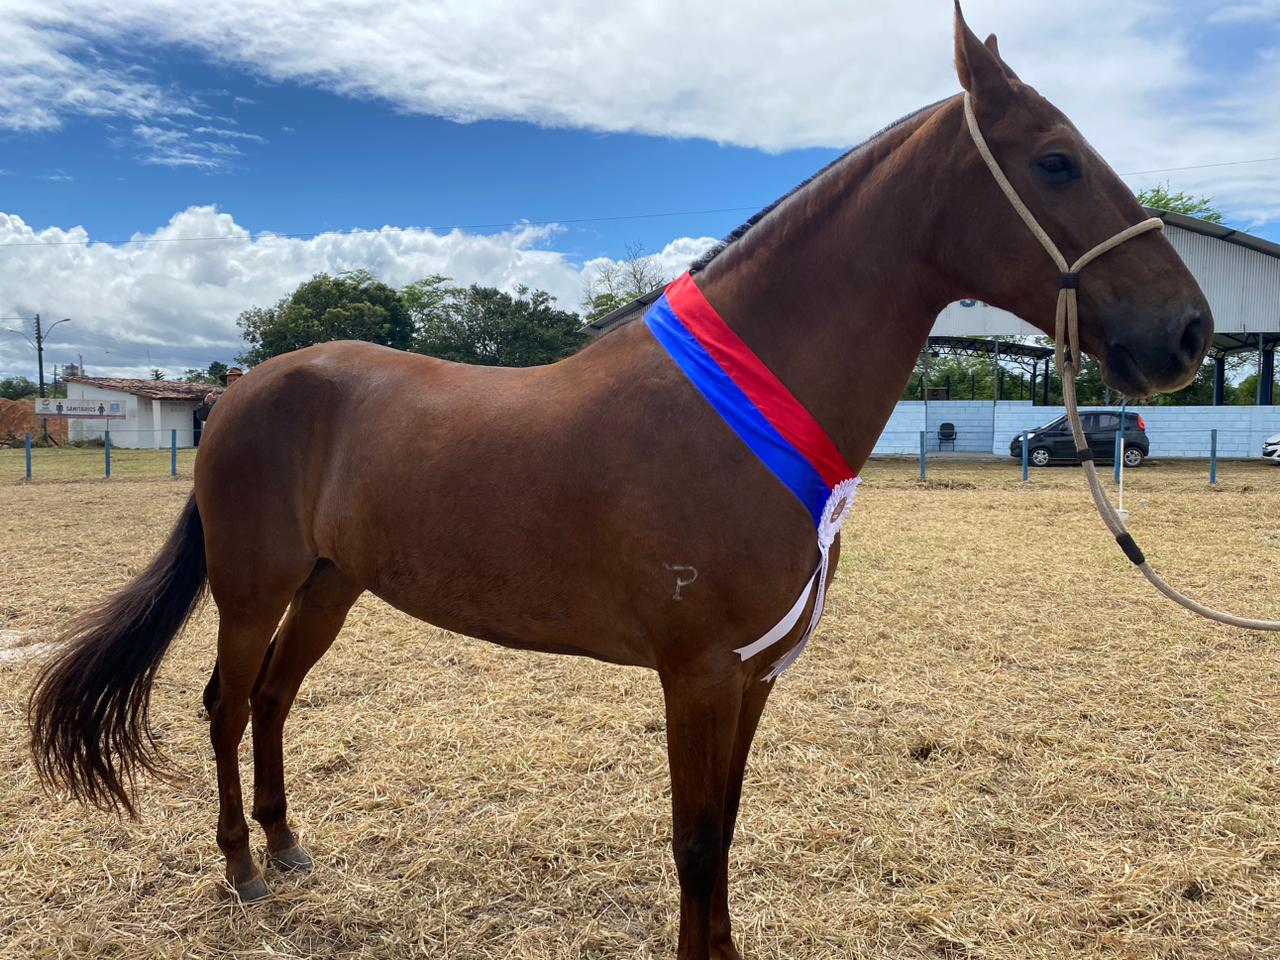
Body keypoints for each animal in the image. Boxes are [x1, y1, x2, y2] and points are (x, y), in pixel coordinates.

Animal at [30, 9, 1208, 960]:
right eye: (1054, 161)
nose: (1188, 333)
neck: (729, 409)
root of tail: (246, 390)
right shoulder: (695, 674)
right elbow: (693, 841)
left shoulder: (752, 674)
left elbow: (724, 831)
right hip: (254, 584)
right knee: (227, 702)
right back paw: (238, 864)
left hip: (331, 584)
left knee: (275, 698)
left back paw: (285, 846)